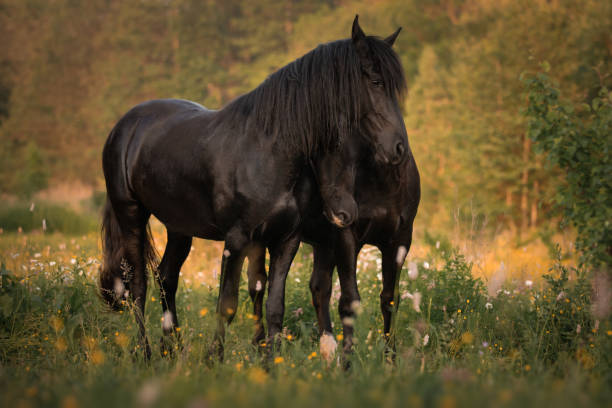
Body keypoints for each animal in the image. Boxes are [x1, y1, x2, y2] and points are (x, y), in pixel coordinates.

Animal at [99, 14, 406, 358]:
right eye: (376, 82)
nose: (398, 147)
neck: (268, 151)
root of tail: (126, 125)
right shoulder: (236, 239)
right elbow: (227, 305)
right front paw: (214, 359)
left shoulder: (286, 240)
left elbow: (274, 306)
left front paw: (270, 361)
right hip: (131, 216)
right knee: (138, 285)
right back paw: (146, 354)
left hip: (179, 227)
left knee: (166, 277)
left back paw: (172, 349)